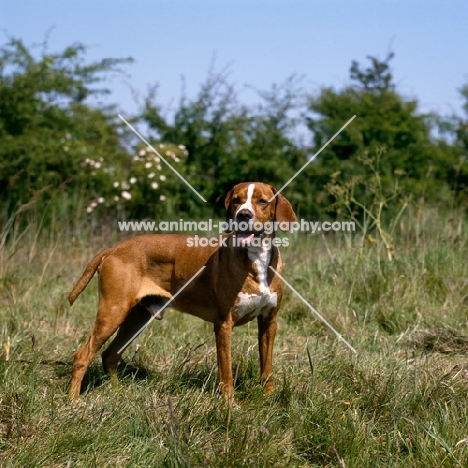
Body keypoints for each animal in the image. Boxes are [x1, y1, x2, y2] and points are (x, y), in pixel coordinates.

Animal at [67, 182, 296, 398]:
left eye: (262, 201)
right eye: (236, 201)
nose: (243, 215)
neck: (257, 256)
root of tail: (113, 249)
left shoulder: (269, 321)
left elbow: (267, 366)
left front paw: (268, 398)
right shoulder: (224, 324)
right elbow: (226, 372)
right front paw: (229, 404)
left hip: (136, 317)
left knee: (110, 355)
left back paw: (118, 392)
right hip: (113, 311)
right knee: (82, 356)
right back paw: (74, 400)